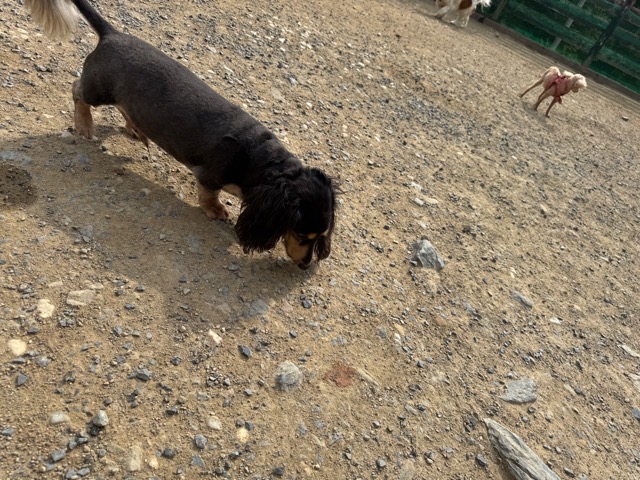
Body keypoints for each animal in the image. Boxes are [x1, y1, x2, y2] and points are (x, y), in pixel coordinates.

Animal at [25, 0, 336, 270]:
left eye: (321, 236)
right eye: (302, 234)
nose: (306, 266)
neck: (263, 159)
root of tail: (112, 35)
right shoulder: (210, 176)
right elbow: (209, 195)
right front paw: (215, 210)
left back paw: (135, 128)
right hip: (98, 90)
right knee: (77, 90)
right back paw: (84, 125)